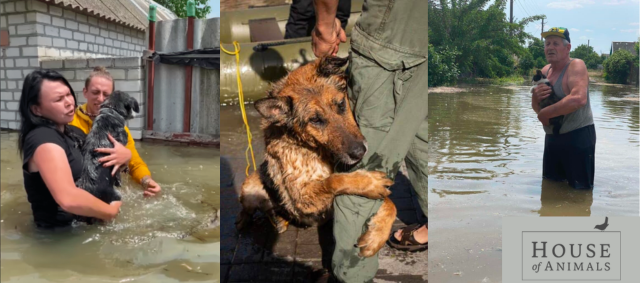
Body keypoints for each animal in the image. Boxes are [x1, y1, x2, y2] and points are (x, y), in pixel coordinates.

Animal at [236, 56, 396, 258]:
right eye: (315, 120)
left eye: (341, 104)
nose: (360, 152)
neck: (316, 149)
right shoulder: (301, 197)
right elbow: (334, 180)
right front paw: (368, 182)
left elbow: (391, 204)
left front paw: (376, 237)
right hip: (250, 188)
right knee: (247, 211)